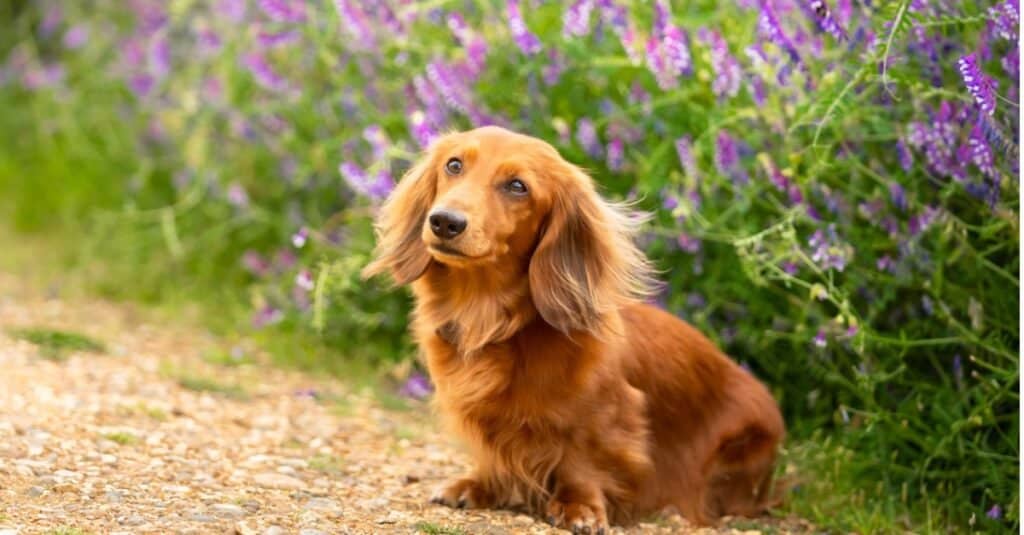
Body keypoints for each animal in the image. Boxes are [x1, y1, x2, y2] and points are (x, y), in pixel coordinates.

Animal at [364, 125, 786, 528]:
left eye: (517, 186)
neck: (492, 319)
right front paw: (479, 486)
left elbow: (581, 461)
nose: (444, 221)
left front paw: (579, 508)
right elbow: (491, 453)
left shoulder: (606, 414)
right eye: (454, 165)